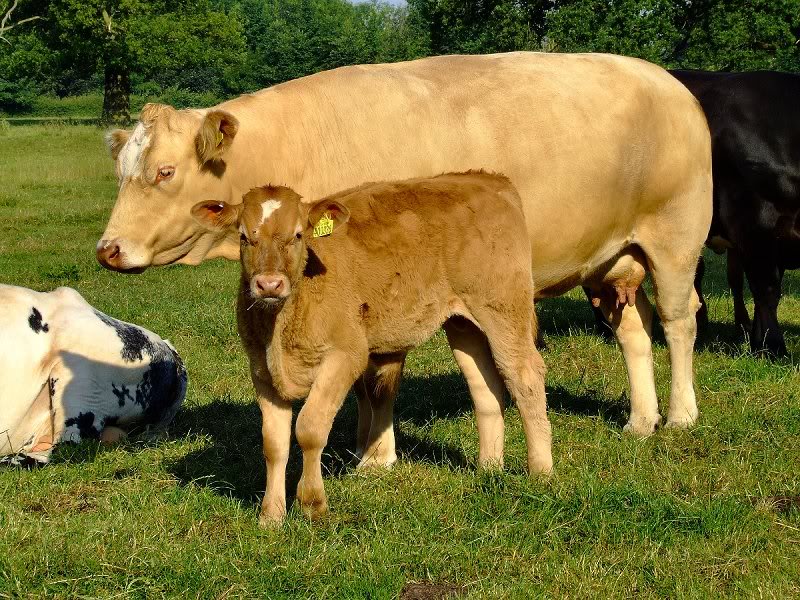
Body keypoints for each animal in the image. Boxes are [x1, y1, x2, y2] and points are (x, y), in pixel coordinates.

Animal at [97, 52, 712, 459]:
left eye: (165, 172)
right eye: (122, 171)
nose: (108, 250)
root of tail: (665, 79)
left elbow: (380, 376)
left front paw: (377, 454)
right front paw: (360, 442)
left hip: (677, 240)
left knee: (679, 321)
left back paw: (681, 415)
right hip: (611, 262)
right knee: (635, 331)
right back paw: (641, 419)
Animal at [191, 172, 552, 525]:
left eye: (297, 235)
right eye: (243, 237)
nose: (269, 284)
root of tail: (488, 179)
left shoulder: (346, 354)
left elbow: (309, 429)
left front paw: (312, 504)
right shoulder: (262, 370)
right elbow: (273, 443)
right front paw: (271, 515)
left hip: (503, 307)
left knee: (524, 375)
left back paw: (541, 473)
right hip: (464, 325)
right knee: (485, 386)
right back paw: (489, 468)